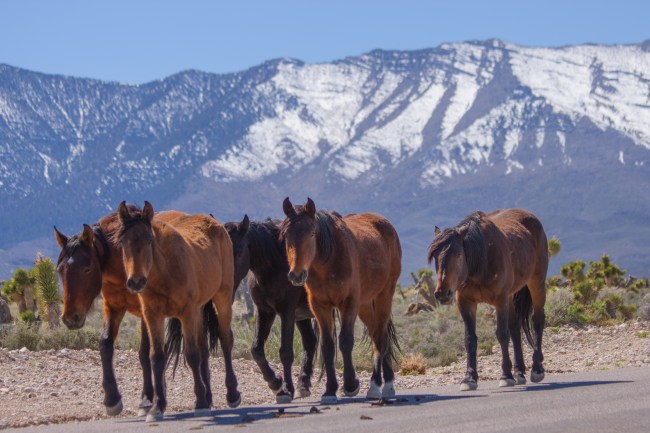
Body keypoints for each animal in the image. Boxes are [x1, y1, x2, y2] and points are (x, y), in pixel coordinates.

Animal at [54, 207, 218, 417]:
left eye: (87, 268)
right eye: (60, 269)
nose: (70, 318)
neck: (121, 265)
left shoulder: (144, 312)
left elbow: (144, 352)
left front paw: (147, 400)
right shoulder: (113, 307)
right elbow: (105, 344)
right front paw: (112, 399)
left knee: (202, 348)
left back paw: (206, 398)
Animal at [116, 201, 240, 422]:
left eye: (149, 240)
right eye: (123, 241)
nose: (136, 281)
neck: (164, 271)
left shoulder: (187, 313)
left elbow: (191, 354)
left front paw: (200, 404)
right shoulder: (152, 315)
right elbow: (157, 357)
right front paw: (157, 408)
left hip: (222, 297)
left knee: (225, 339)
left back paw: (232, 394)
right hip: (199, 310)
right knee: (204, 348)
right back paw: (209, 397)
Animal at [224, 215, 318, 404]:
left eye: (239, 251)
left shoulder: (287, 312)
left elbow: (286, 352)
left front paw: (286, 389)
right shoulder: (265, 311)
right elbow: (256, 350)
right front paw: (276, 384)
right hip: (302, 316)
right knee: (310, 342)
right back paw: (303, 385)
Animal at [280, 198, 402, 404]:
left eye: (312, 233)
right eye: (287, 234)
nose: (296, 275)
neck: (329, 261)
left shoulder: (349, 303)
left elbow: (345, 341)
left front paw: (351, 385)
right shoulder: (320, 307)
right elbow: (328, 346)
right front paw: (330, 390)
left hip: (384, 295)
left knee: (380, 338)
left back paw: (379, 386)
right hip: (365, 305)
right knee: (377, 335)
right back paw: (385, 384)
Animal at [427, 209, 548, 391]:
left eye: (458, 254)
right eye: (435, 257)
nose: (442, 293)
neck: (481, 261)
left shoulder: (500, 300)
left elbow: (502, 334)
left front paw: (506, 375)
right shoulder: (466, 302)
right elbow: (470, 339)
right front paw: (469, 378)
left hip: (536, 282)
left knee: (538, 320)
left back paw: (537, 369)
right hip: (510, 296)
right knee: (515, 328)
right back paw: (519, 372)